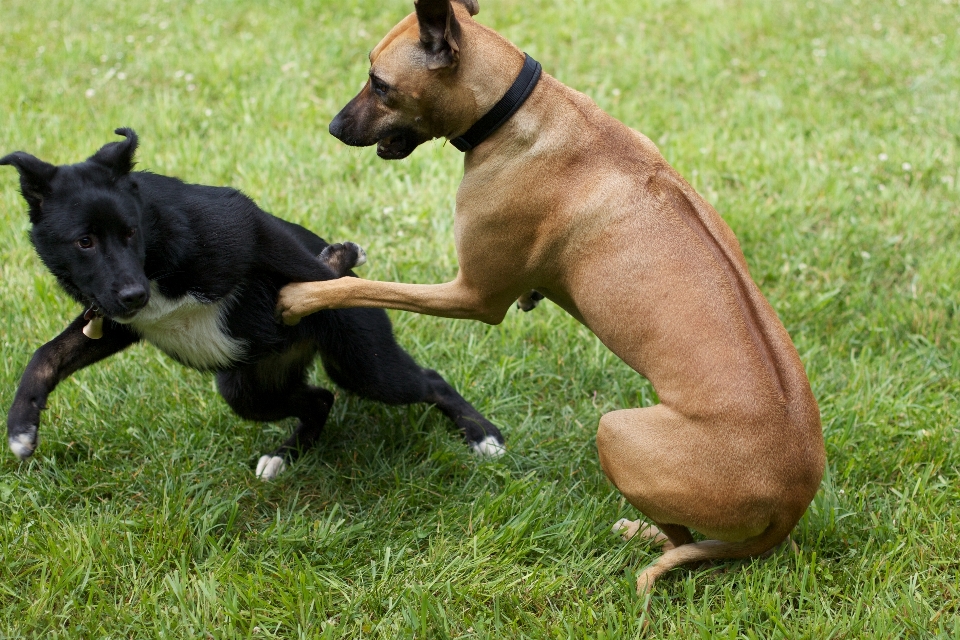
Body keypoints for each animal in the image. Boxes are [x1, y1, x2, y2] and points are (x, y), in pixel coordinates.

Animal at [0, 127, 506, 478]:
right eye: (84, 241)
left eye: (130, 232)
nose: (134, 294)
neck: (154, 258)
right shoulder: (115, 320)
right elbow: (48, 355)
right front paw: (22, 427)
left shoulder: (242, 226)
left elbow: (305, 267)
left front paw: (330, 273)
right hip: (247, 388)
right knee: (319, 399)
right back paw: (287, 455)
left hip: (366, 369)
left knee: (429, 381)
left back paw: (482, 435)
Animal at [278, 0, 824, 592]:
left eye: (380, 83)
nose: (333, 127)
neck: (518, 110)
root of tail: (793, 500)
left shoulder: (472, 296)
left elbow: (359, 284)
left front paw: (301, 294)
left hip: (617, 433)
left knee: (680, 536)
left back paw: (647, 536)